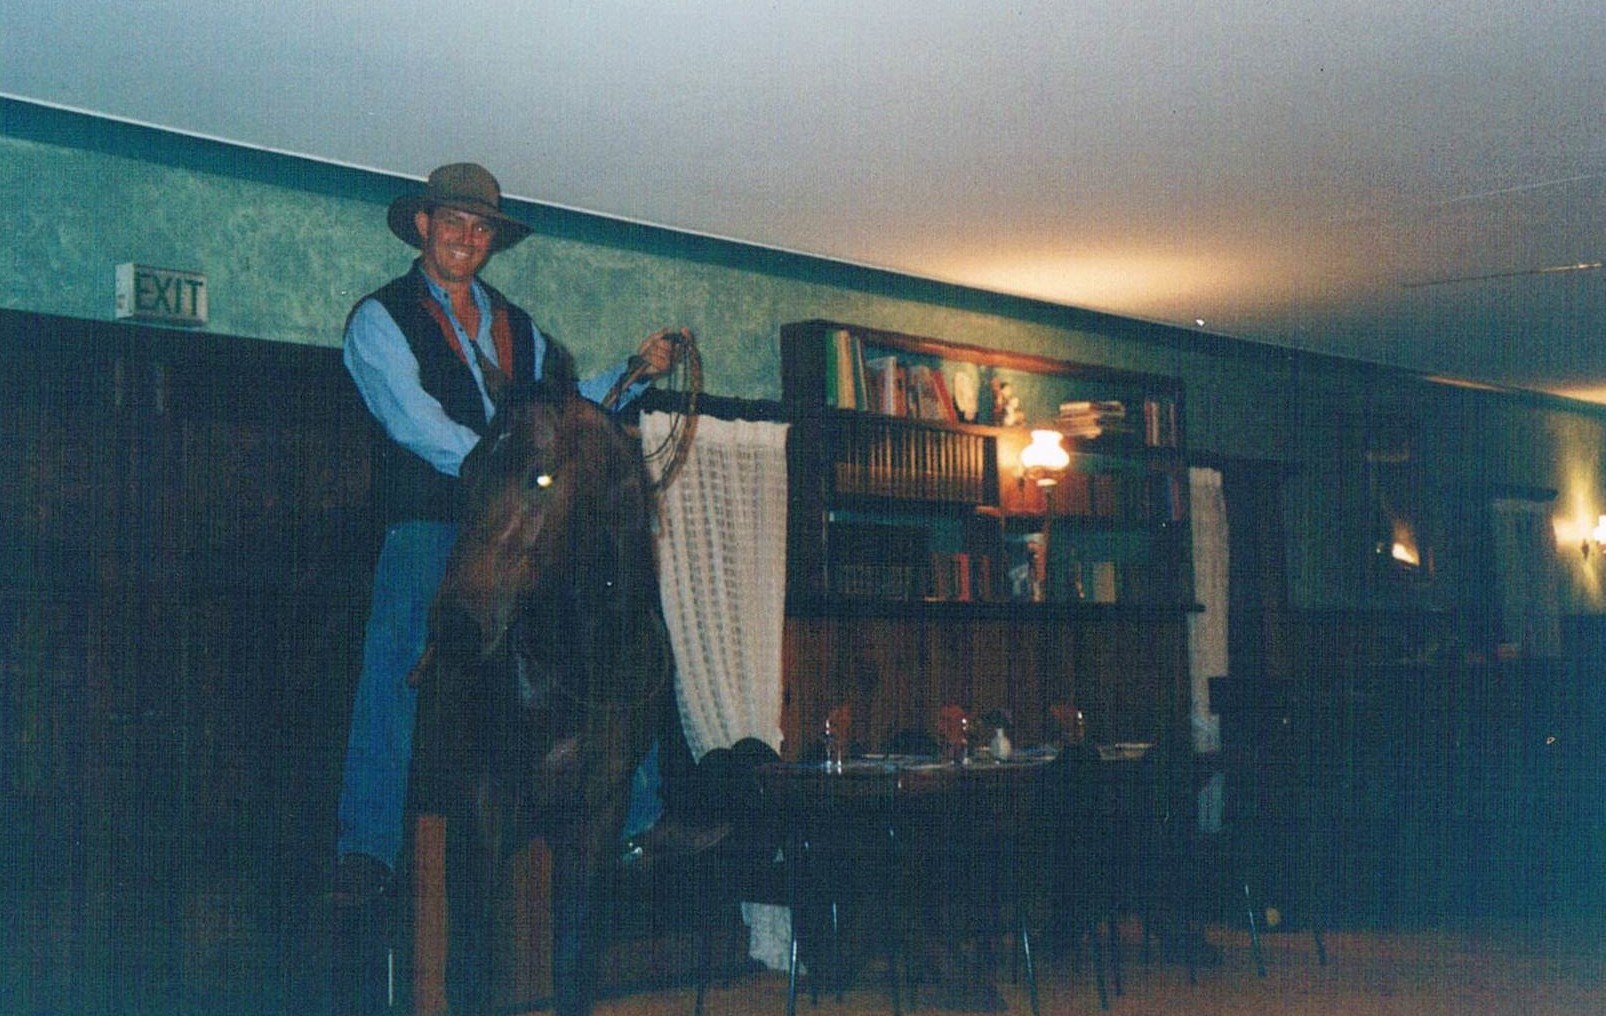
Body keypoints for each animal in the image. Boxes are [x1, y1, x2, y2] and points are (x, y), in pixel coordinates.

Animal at [411, 349, 674, 1014]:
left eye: (543, 478)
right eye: (468, 471)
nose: (456, 628)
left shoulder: (594, 821)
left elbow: (575, 964)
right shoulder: (480, 814)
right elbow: (469, 967)